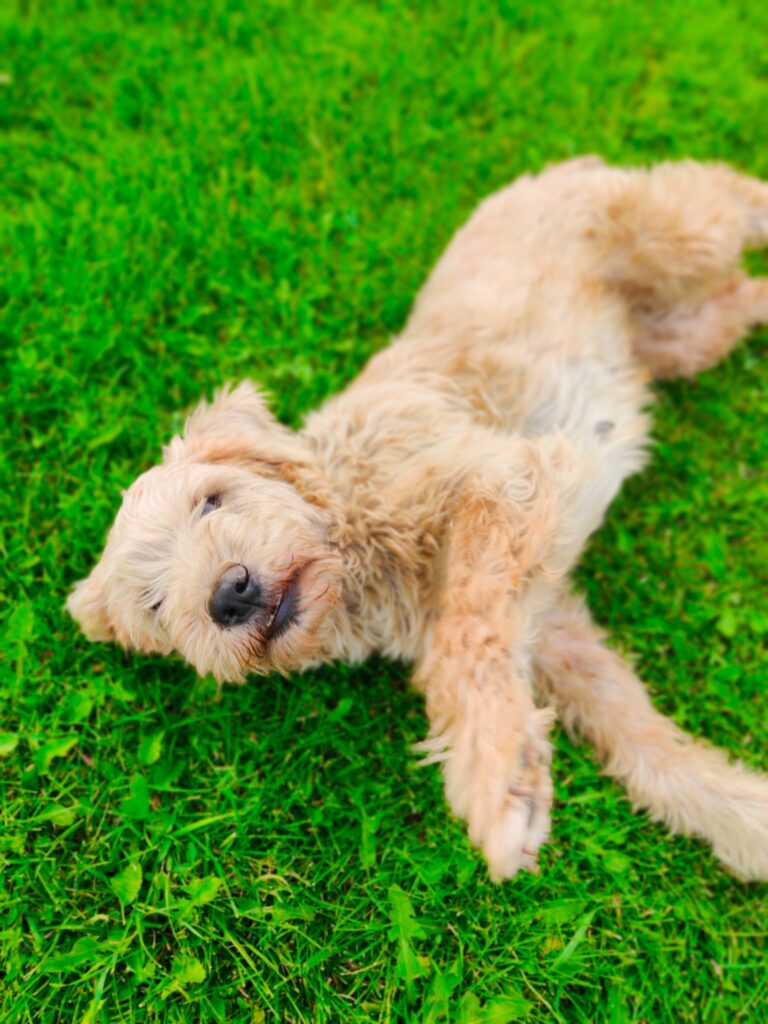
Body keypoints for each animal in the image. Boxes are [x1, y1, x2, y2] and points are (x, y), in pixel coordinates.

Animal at [67, 157, 768, 880]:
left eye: (211, 499)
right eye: (153, 605)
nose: (229, 596)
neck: (345, 522)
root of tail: (553, 171)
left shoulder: (503, 478)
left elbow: (464, 635)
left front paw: (496, 775)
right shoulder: (552, 631)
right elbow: (639, 739)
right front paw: (747, 819)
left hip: (676, 235)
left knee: (726, 191)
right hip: (685, 337)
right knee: (746, 292)